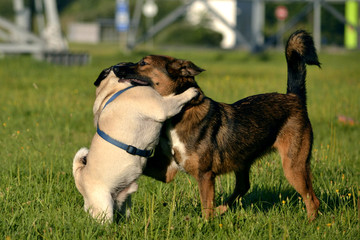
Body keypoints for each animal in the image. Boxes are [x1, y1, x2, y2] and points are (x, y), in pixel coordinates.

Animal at [72, 64, 198, 223]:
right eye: (122, 65)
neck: (113, 91)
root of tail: (79, 178)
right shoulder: (162, 106)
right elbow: (175, 99)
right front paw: (191, 91)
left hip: (124, 203)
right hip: (104, 206)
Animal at [114, 30, 320, 221]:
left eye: (143, 63)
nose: (116, 67)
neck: (180, 112)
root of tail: (294, 97)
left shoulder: (205, 175)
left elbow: (206, 207)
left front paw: (204, 226)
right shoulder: (167, 169)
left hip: (293, 165)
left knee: (312, 199)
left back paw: (310, 223)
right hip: (243, 161)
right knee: (243, 187)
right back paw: (222, 209)